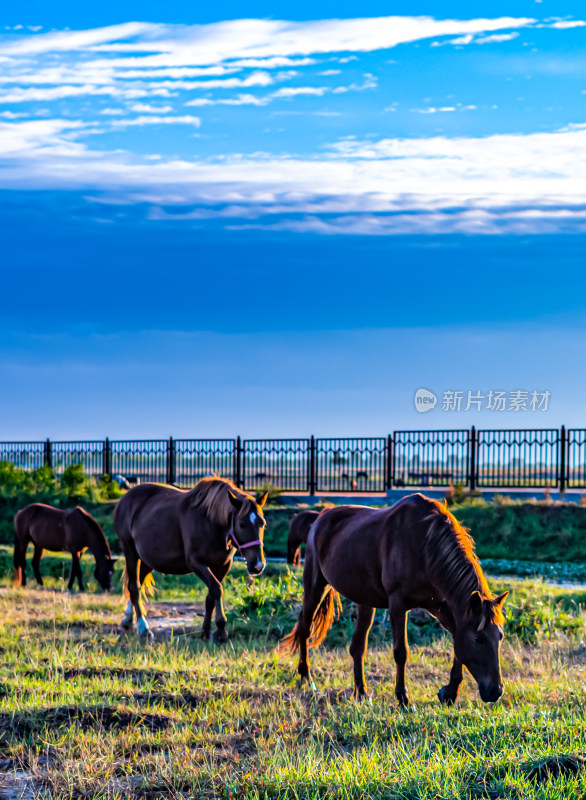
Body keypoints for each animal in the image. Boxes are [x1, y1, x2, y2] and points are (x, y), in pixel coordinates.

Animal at [112, 478, 266, 640]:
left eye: (262, 523)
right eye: (242, 524)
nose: (257, 565)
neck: (211, 522)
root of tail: (125, 498)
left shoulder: (222, 565)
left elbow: (211, 596)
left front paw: (206, 631)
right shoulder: (196, 563)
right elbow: (217, 589)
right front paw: (220, 629)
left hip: (148, 559)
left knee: (138, 584)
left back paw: (128, 620)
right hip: (130, 550)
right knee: (134, 587)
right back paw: (144, 628)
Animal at [280, 494, 504, 708]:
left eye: (499, 636)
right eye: (478, 639)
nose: (496, 691)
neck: (426, 545)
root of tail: (320, 517)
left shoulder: (440, 606)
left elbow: (457, 642)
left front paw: (449, 692)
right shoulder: (398, 604)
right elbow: (401, 652)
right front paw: (403, 698)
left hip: (364, 600)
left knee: (357, 647)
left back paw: (361, 692)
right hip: (315, 586)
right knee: (305, 629)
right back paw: (306, 677)